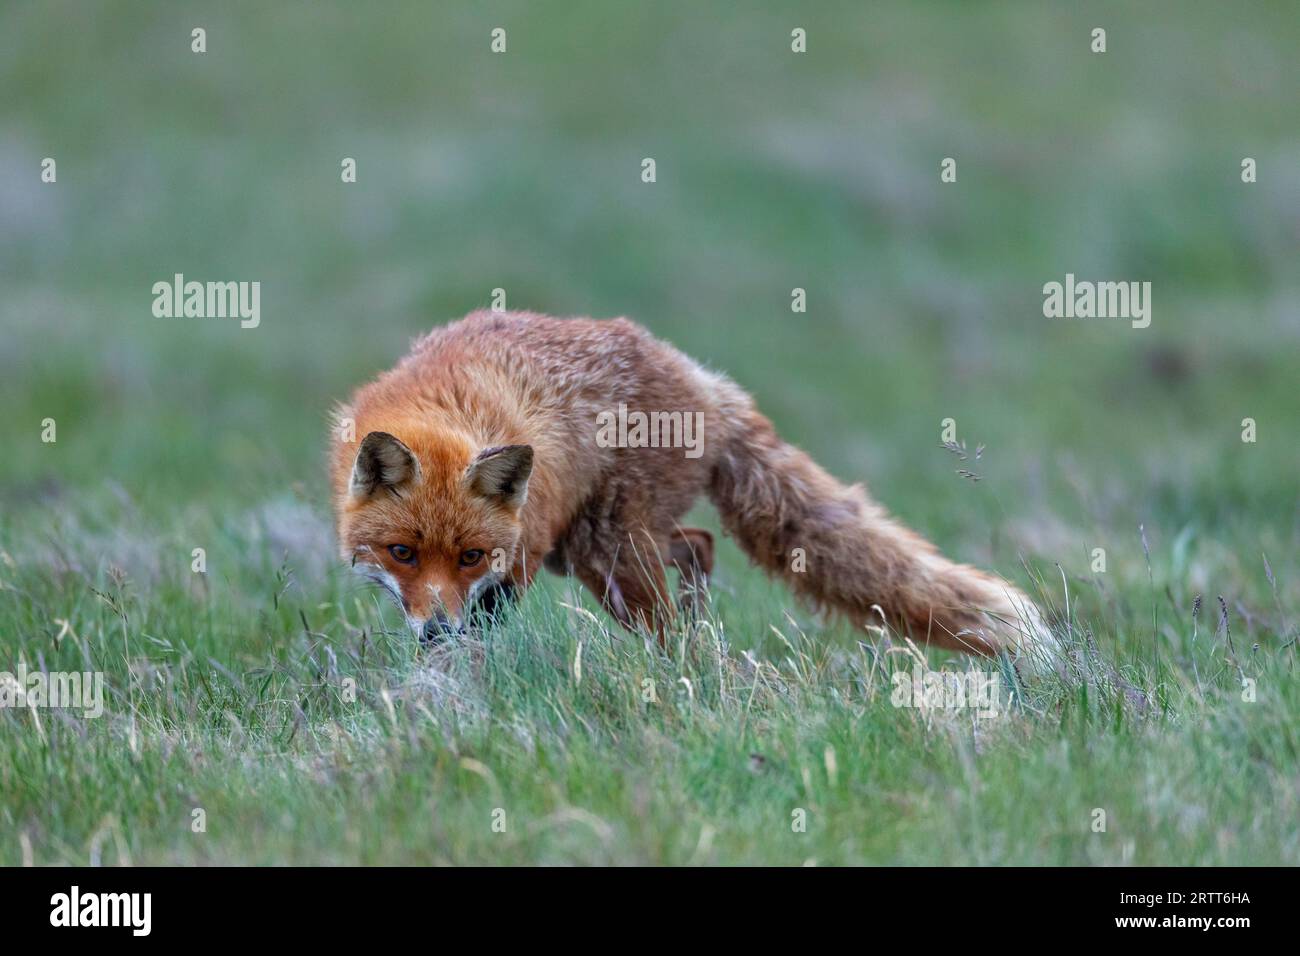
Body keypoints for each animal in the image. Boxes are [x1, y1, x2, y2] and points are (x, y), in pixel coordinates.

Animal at [327, 310, 1055, 671]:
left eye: (471, 556)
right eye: (401, 554)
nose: (434, 629)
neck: (454, 404)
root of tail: (702, 377)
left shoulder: (520, 557)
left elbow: (482, 625)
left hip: (606, 550)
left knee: (676, 591)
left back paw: (684, 669)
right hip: (600, 548)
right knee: (700, 543)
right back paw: (698, 631)